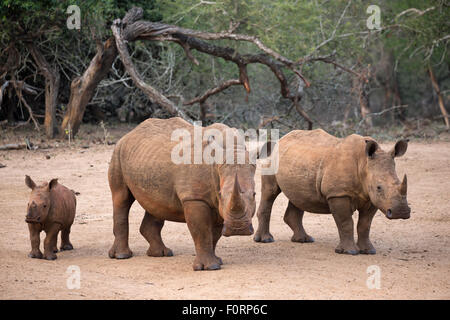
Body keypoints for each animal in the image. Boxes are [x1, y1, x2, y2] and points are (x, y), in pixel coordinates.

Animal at [107, 117, 255, 270]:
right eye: (221, 194)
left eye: (254, 194)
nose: (238, 229)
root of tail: (130, 133)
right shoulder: (194, 198)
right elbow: (202, 231)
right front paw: (210, 267)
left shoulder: (217, 204)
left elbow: (214, 234)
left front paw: (217, 262)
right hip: (118, 152)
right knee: (121, 199)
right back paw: (122, 256)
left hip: (147, 159)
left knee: (156, 204)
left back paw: (161, 254)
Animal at [255, 130, 410, 255]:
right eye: (379, 187)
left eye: (399, 182)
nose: (401, 212)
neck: (364, 164)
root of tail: (280, 140)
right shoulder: (338, 194)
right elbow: (345, 222)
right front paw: (350, 252)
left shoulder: (372, 198)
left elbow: (365, 225)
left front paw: (369, 251)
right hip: (272, 160)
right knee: (270, 192)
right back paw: (266, 240)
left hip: (297, 161)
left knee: (298, 197)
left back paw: (304, 240)